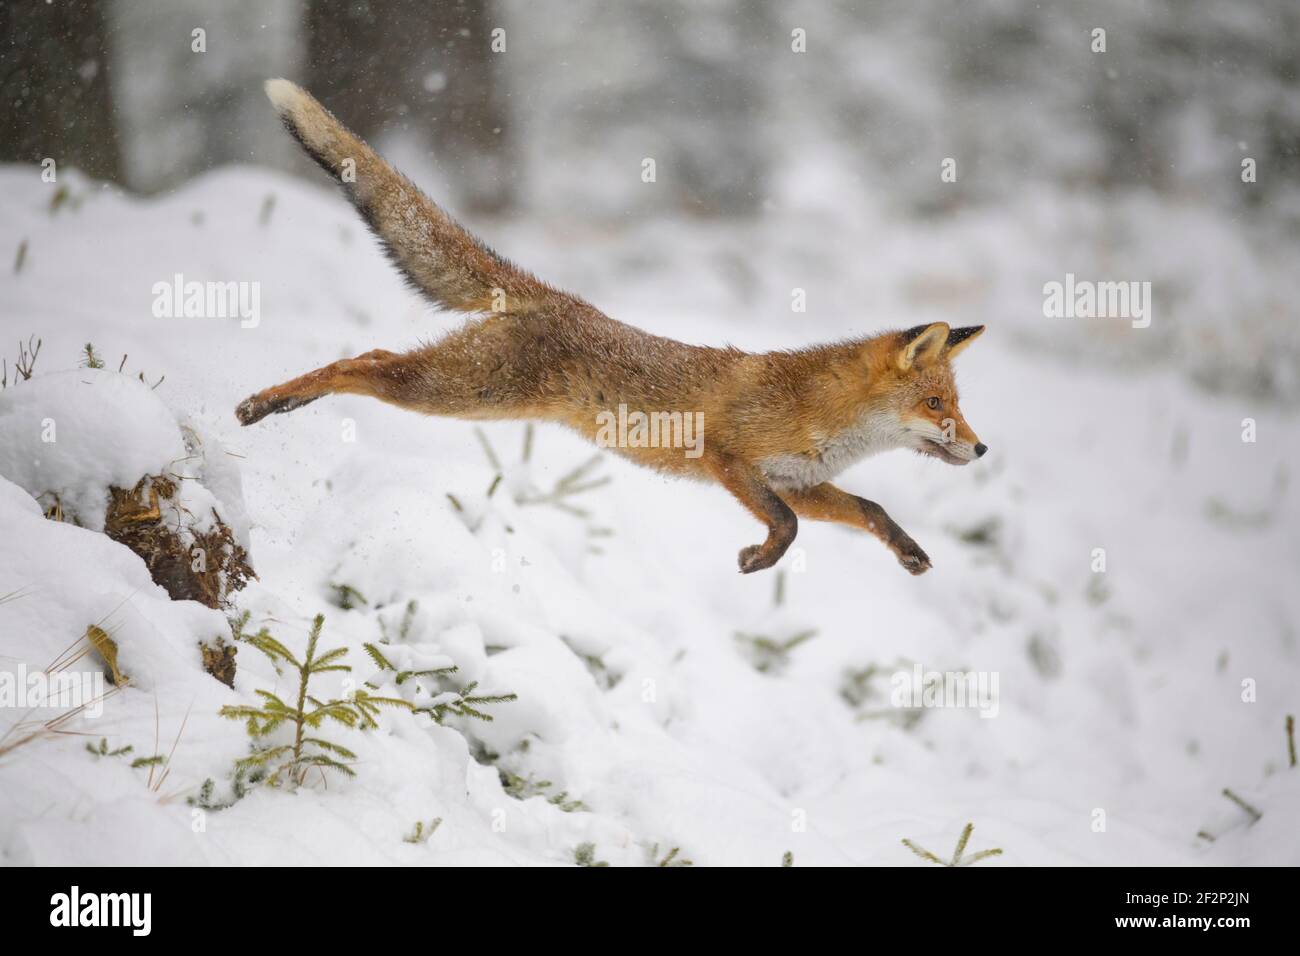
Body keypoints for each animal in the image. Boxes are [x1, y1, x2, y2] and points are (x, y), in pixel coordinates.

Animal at [237, 79, 988, 576]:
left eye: (956, 404)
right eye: (936, 404)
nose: (981, 449)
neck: (821, 416)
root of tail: (553, 297)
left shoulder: (797, 478)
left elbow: (868, 509)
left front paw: (909, 551)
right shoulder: (727, 457)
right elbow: (791, 526)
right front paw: (760, 558)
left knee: (368, 356)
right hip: (458, 391)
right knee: (358, 361)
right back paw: (265, 403)